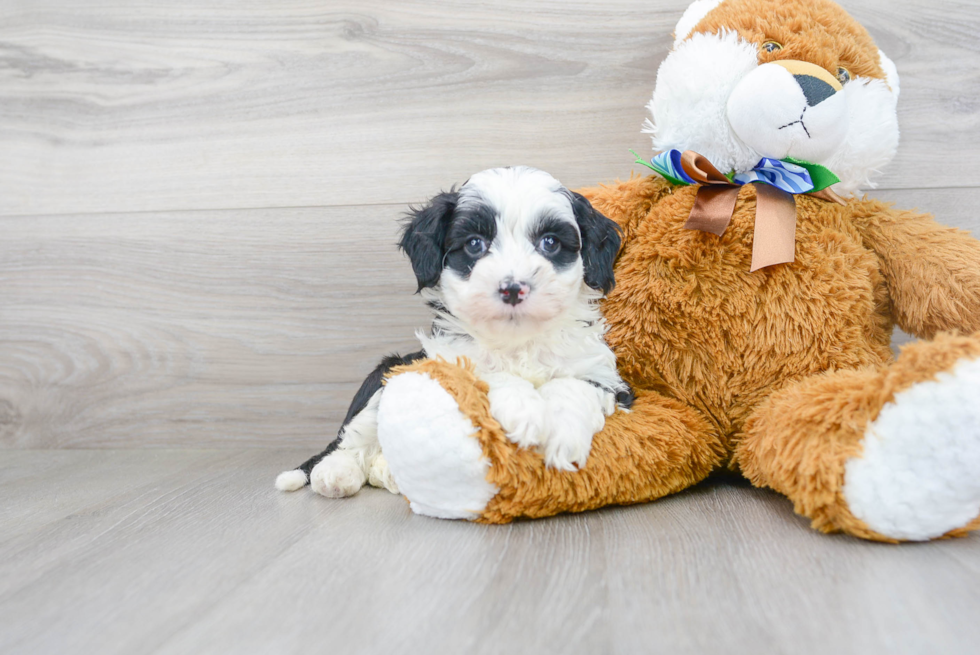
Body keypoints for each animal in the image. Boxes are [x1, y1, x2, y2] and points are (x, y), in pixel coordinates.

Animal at [274, 168, 636, 498]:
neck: (517, 341)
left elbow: (574, 385)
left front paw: (563, 435)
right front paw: (524, 412)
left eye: (550, 242)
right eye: (475, 244)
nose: (512, 288)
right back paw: (336, 473)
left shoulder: (605, 375)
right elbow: (487, 372)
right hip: (389, 372)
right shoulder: (445, 359)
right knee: (354, 434)